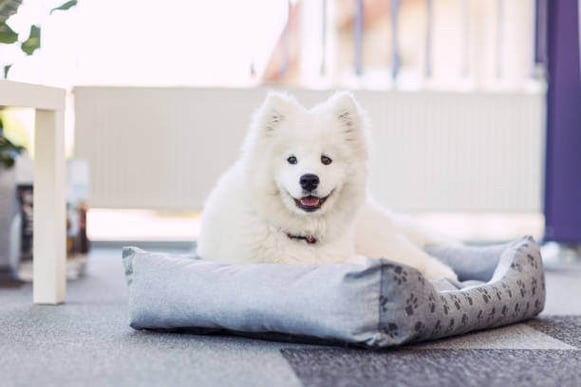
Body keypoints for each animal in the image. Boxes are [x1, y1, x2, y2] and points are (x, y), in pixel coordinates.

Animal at [198, 91, 458, 278]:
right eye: (291, 159)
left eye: (326, 160)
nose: (309, 179)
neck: (305, 239)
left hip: (378, 239)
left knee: (417, 258)